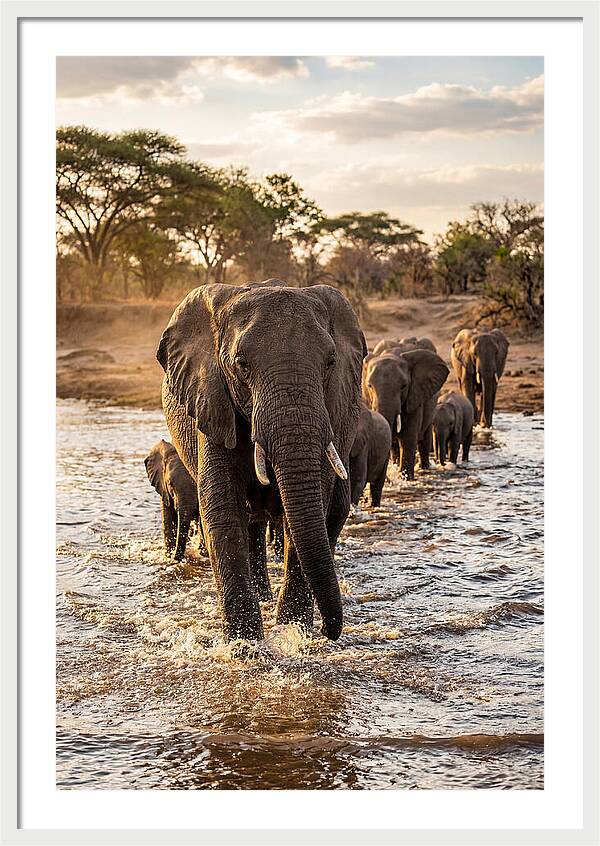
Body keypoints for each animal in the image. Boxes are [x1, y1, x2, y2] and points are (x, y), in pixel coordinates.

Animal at [157, 281, 366, 642]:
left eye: (331, 362)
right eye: (241, 365)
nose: (330, 631)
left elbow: (311, 508)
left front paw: (294, 632)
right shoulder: (212, 400)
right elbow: (223, 510)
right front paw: (245, 646)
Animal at [362, 348, 449, 480]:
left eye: (403, 386)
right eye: (369, 386)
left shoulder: (414, 397)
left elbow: (408, 440)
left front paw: (406, 479)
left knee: (425, 439)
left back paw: (425, 468)